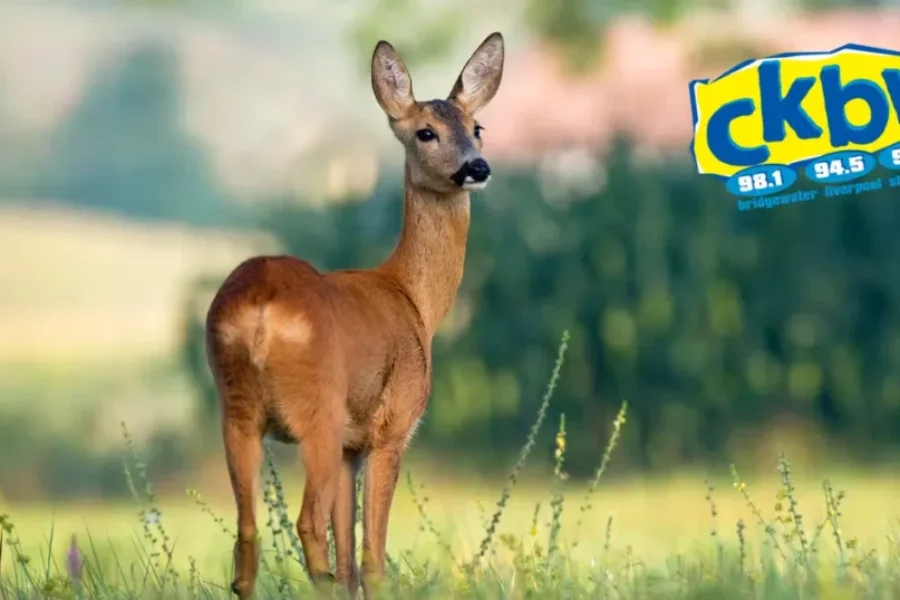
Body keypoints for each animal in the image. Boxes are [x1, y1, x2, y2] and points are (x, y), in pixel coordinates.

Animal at [204, 32, 505, 599]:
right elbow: (371, 560)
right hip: (315, 410)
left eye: (477, 128)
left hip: (237, 410)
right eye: (425, 132)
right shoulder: (390, 428)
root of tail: (259, 311)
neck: (413, 298)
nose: (476, 168)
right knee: (305, 525)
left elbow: (349, 560)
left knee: (247, 538)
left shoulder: (350, 448)